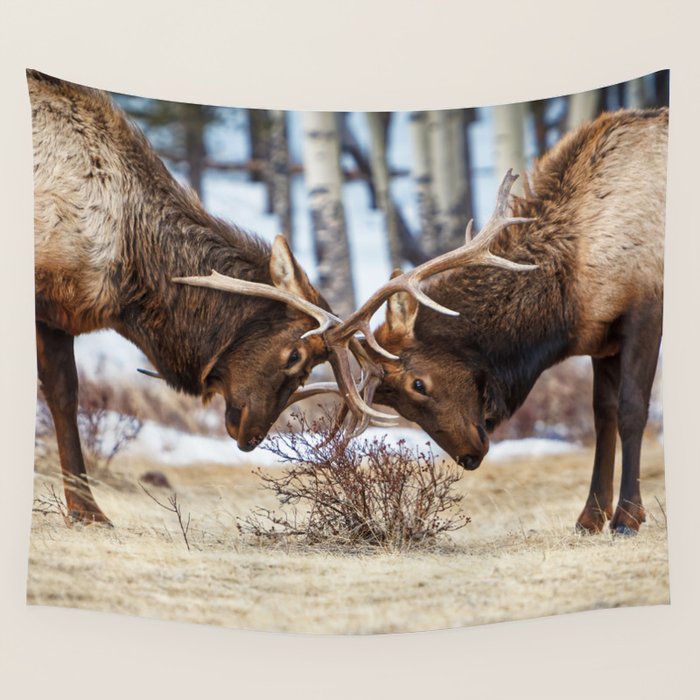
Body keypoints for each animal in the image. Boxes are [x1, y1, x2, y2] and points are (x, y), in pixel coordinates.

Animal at [313, 108, 668, 536]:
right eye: (390, 401)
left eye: (418, 383)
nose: (468, 456)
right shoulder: (603, 337)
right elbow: (602, 415)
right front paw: (589, 517)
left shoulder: (645, 311)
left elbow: (631, 410)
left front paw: (627, 517)